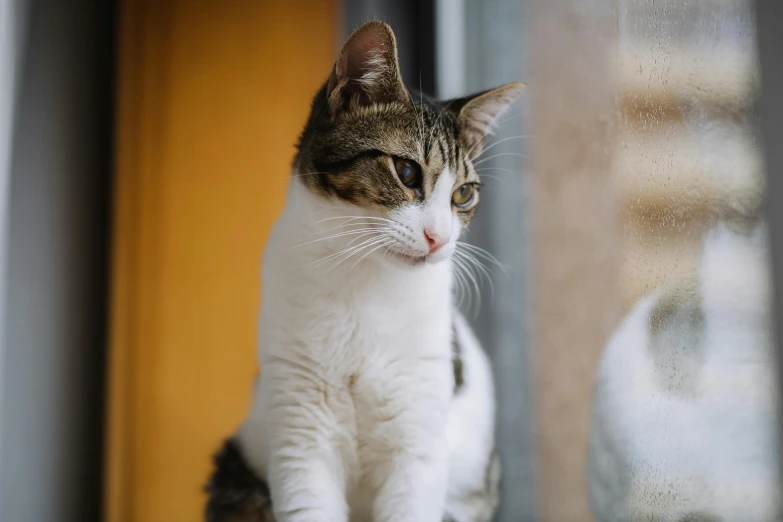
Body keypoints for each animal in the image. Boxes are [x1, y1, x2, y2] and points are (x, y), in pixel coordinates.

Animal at [205, 20, 524, 520]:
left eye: (463, 195)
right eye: (407, 172)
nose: (439, 237)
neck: (364, 281)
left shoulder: (418, 437)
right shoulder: (300, 434)